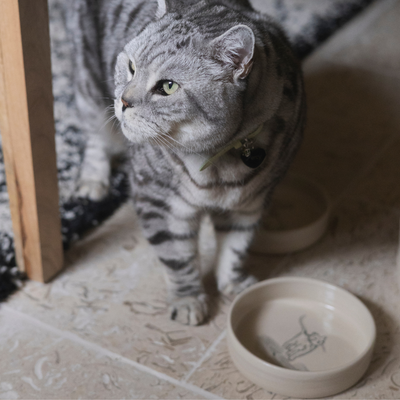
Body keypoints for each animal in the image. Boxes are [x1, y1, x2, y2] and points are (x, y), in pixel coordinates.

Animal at [72, 0, 304, 324]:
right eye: (131, 67)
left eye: (168, 87)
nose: (123, 101)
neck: (218, 161)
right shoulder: (159, 202)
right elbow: (177, 257)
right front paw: (188, 300)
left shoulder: (250, 203)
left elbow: (235, 246)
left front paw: (233, 282)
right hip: (89, 87)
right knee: (95, 136)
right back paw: (93, 181)